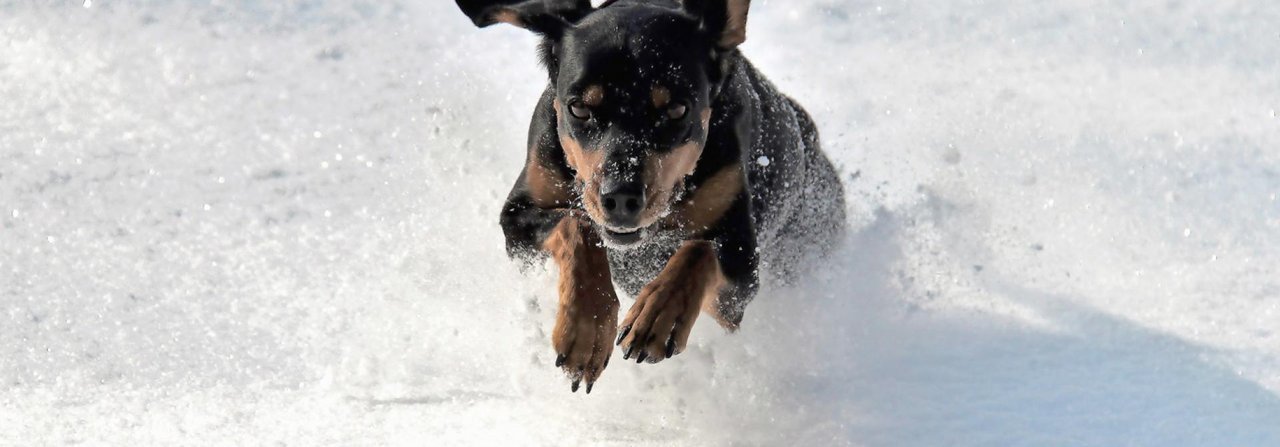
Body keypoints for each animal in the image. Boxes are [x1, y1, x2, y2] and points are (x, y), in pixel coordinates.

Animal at [455, 0, 844, 391]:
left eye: (677, 109)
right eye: (578, 108)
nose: (620, 198)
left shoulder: (740, 275)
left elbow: (700, 251)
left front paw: (659, 314)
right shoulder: (519, 222)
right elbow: (576, 224)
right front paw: (586, 329)